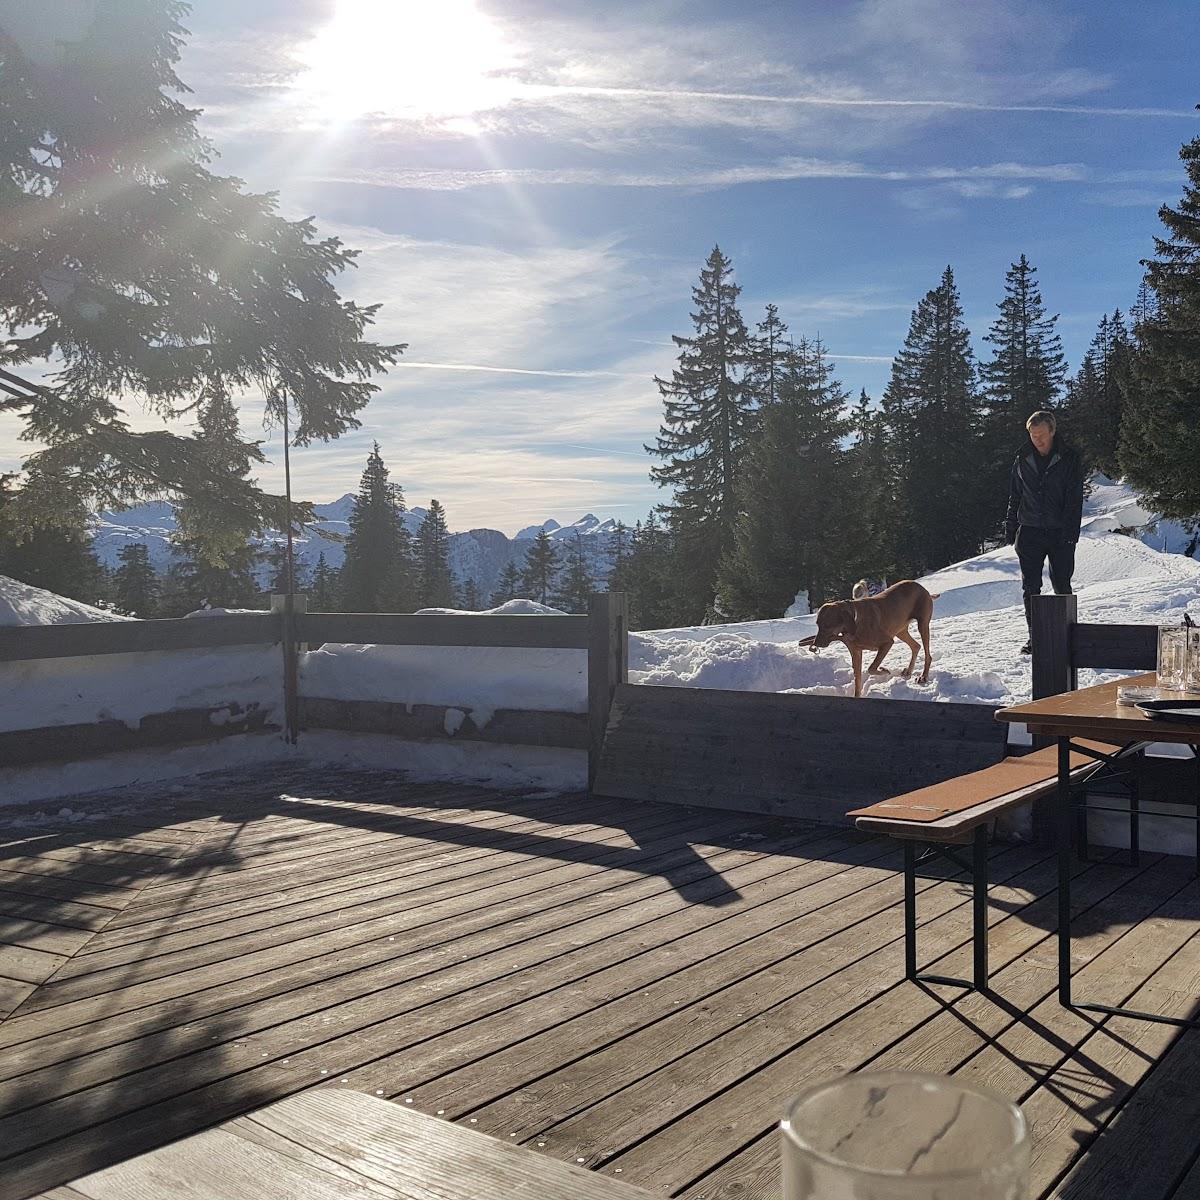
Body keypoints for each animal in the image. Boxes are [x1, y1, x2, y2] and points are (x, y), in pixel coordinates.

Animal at [801, 578, 931, 700]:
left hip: (922, 624)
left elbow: (871, 668)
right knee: (916, 646)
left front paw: (884, 671)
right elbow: (857, 679)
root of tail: (918, 584)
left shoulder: (887, 642)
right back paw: (909, 671)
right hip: (900, 631)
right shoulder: (856, 653)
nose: (815, 643)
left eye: (827, 625)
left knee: (927, 654)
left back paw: (923, 676)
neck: (855, 620)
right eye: (817, 624)